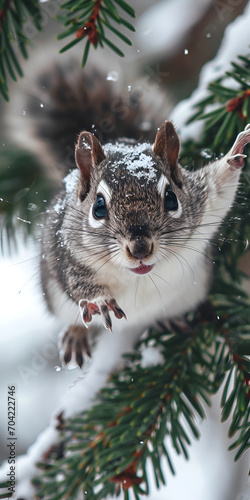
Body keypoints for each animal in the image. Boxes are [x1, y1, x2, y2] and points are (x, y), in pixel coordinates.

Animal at [7, 59, 250, 372]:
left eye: (171, 198)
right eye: (98, 207)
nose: (140, 249)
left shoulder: (203, 204)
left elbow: (219, 190)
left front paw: (236, 151)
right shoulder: (65, 253)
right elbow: (77, 283)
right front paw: (99, 301)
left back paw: (170, 319)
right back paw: (76, 336)